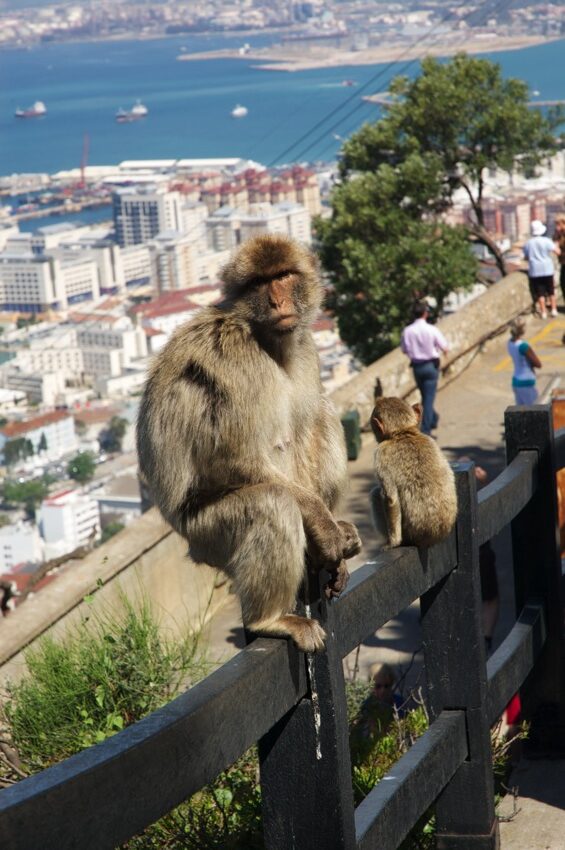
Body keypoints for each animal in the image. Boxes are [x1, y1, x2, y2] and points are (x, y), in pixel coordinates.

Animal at [136, 234, 361, 653]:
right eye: (259, 283)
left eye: (283, 276)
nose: (277, 302)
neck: (265, 338)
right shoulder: (237, 358)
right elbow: (229, 458)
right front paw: (322, 525)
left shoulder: (305, 348)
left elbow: (304, 426)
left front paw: (327, 533)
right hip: (207, 535)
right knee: (272, 504)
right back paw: (269, 619)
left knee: (322, 413)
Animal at [369, 397, 457, 549]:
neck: (402, 433)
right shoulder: (430, 440)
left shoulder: (380, 454)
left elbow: (390, 499)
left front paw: (393, 543)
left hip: (409, 535)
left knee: (375, 494)